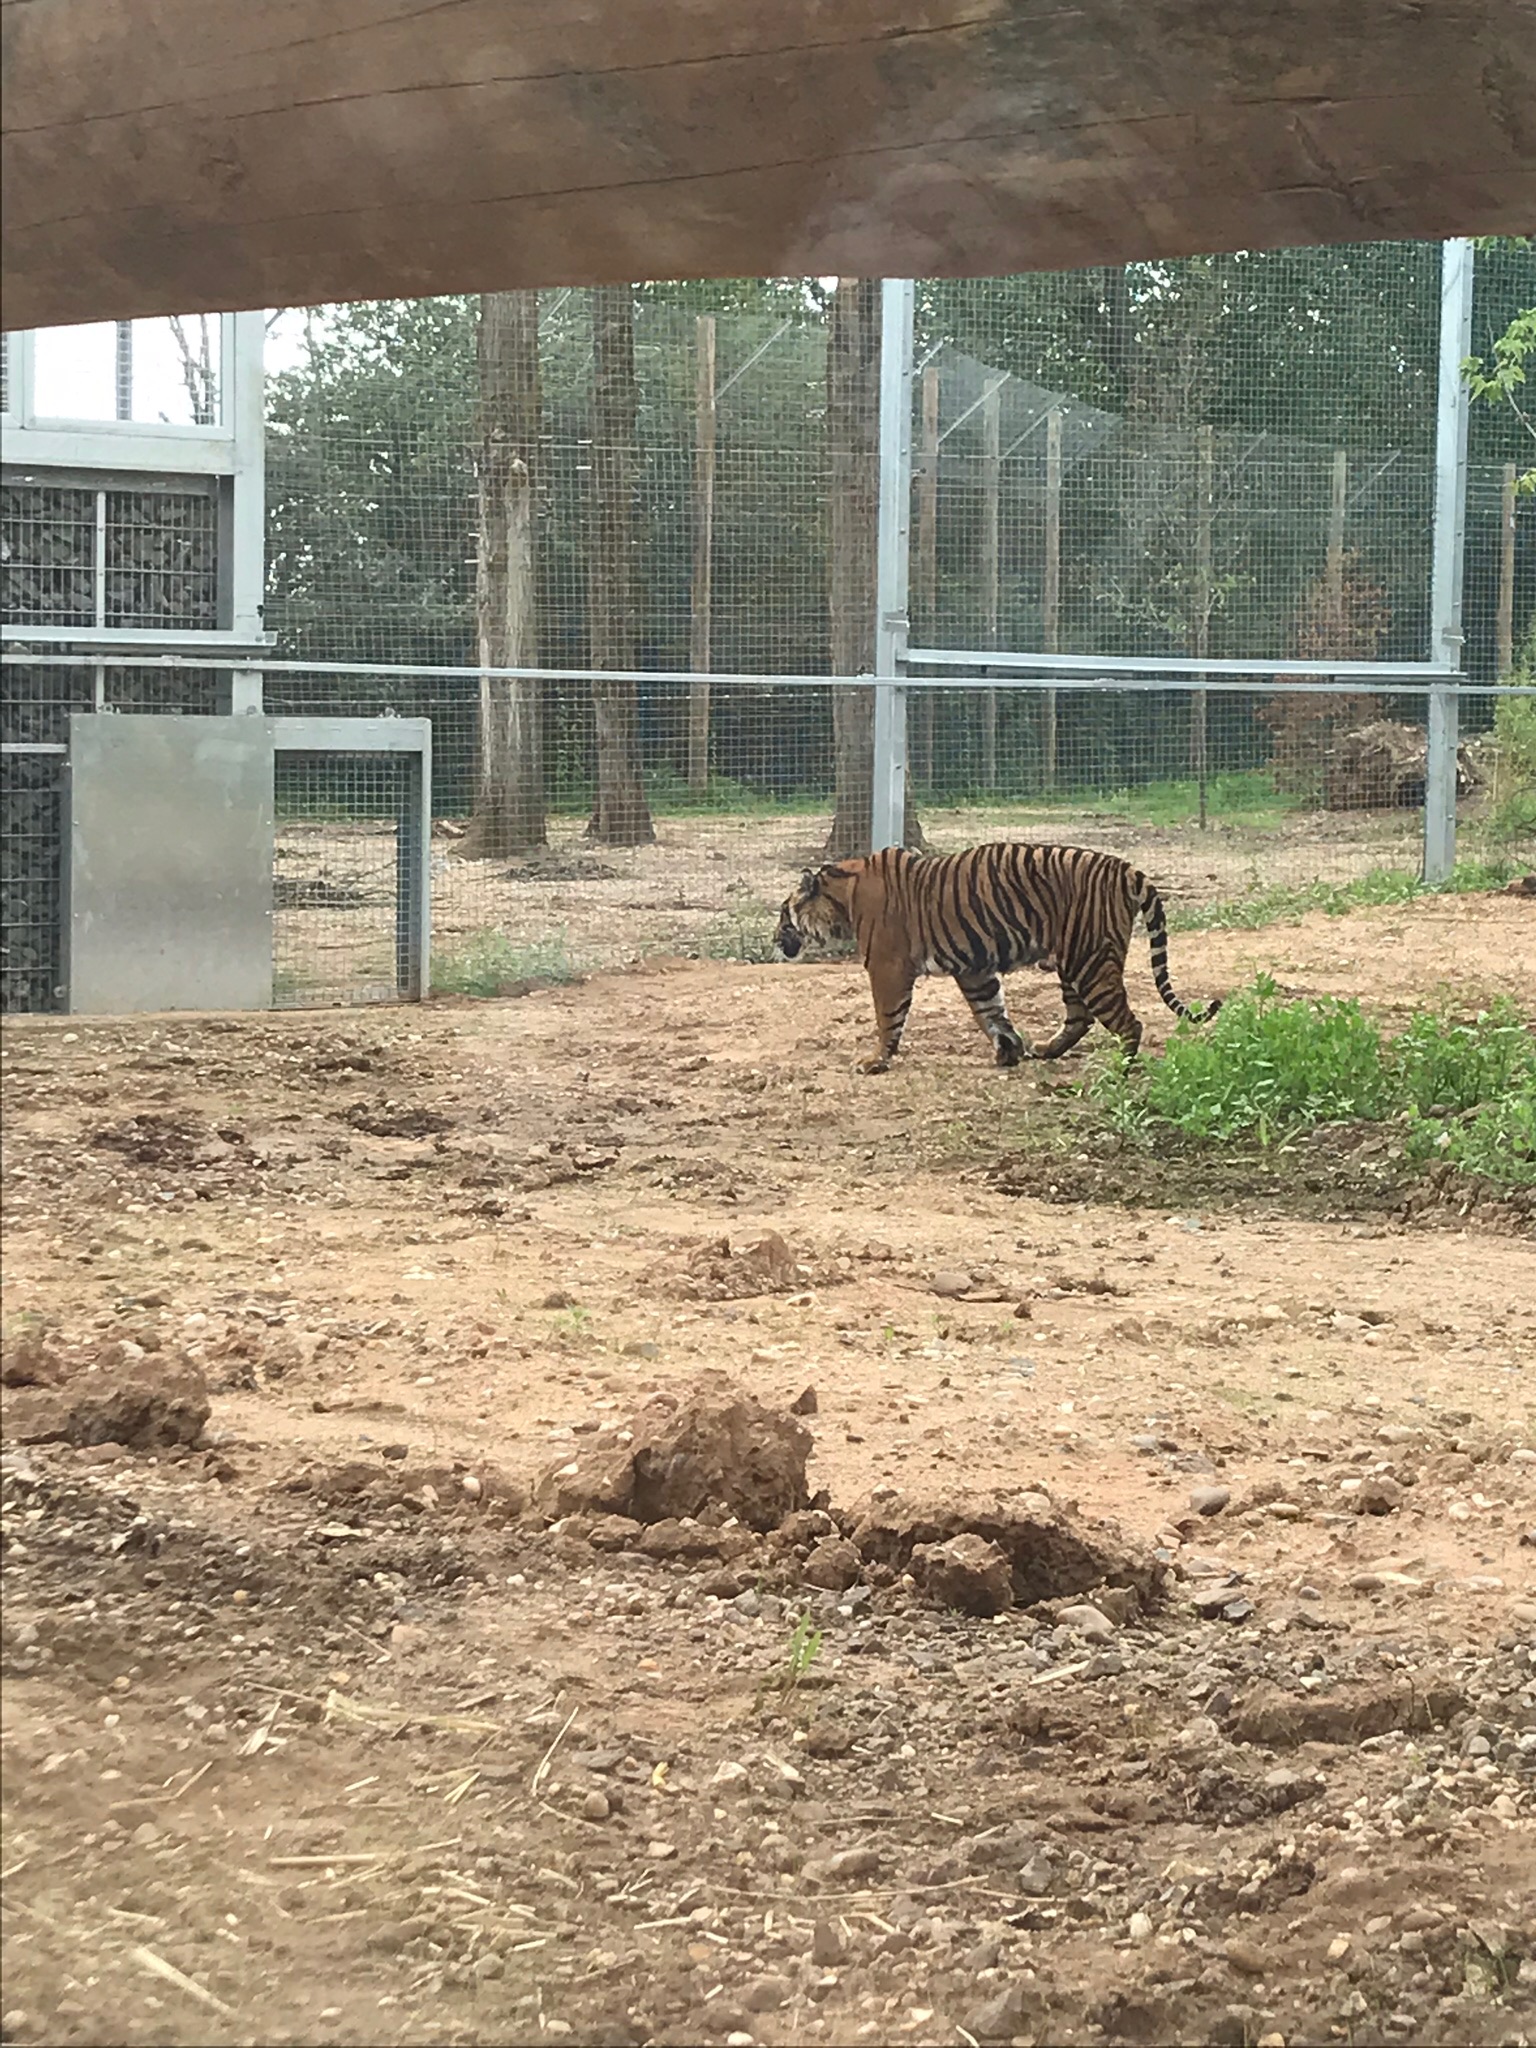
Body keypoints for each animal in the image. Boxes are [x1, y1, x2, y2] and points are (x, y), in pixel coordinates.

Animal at [774, 841, 1221, 1074]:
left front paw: (874, 1060)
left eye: (783, 913)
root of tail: (1124, 866)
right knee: (1081, 1017)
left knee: (1128, 1021)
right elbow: (990, 1010)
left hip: (1089, 960)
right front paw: (1009, 1050)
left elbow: (888, 1017)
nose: (777, 940)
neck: (843, 898)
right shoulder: (975, 968)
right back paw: (1046, 1049)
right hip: (1074, 960)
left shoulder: (887, 967)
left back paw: (1120, 1066)